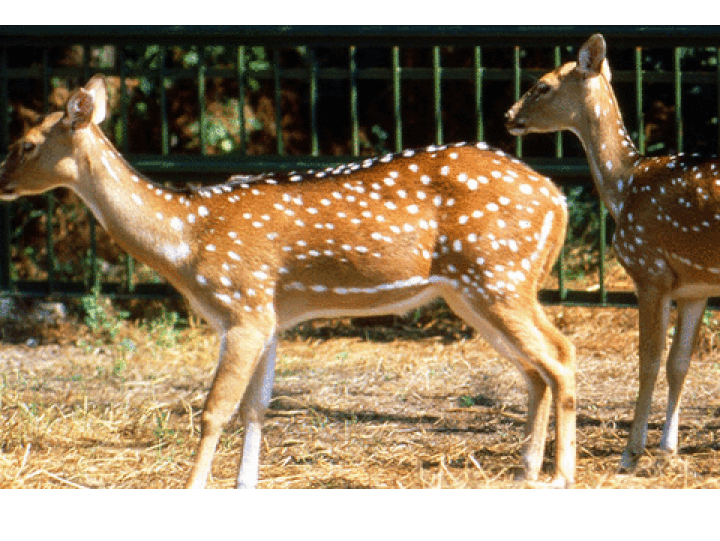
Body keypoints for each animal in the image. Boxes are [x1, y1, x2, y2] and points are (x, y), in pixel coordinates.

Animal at [0, 75, 576, 488]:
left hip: (498, 278)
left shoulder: (243, 308)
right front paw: (245, 482)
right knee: (535, 369)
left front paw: (194, 482)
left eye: (25, 144)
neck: (186, 239)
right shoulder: (271, 318)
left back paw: (560, 473)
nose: (1, 180)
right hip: (475, 291)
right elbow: (257, 408)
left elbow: (215, 410)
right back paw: (525, 469)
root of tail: (559, 199)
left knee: (561, 356)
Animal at [506, 34, 720, 472]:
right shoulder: (694, 286)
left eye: (543, 85)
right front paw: (667, 449)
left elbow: (648, 361)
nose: (509, 115)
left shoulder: (649, 270)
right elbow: (679, 364)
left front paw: (630, 453)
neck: (624, 187)